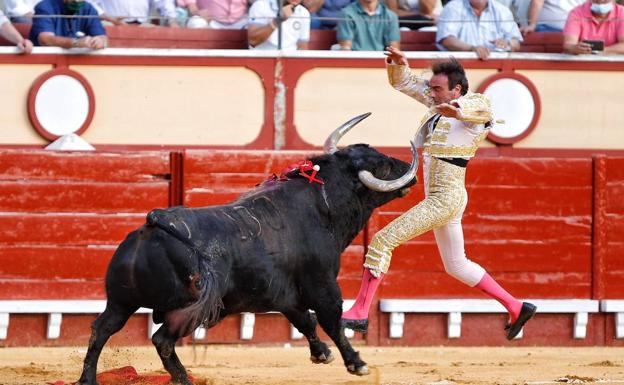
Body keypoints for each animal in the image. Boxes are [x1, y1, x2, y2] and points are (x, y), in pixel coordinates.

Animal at [80, 118, 416, 382]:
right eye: (384, 165)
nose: (409, 171)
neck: (323, 205)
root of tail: (154, 223)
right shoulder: (322, 283)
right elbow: (330, 319)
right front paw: (355, 363)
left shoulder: (284, 293)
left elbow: (304, 320)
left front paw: (321, 353)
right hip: (186, 310)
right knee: (162, 340)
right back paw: (184, 379)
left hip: (121, 301)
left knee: (101, 329)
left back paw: (88, 379)